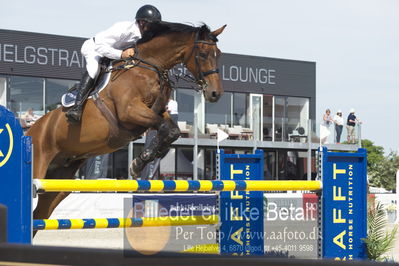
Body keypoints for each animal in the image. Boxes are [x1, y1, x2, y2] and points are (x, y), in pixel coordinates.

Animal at [27, 20, 228, 223]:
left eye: (218, 54)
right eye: (202, 54)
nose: (215, 93)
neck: (150, 66)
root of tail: (30, 131)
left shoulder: (156, 111)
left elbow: (172, 130)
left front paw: (143, 159)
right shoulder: (129, 111)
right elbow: (165, 128)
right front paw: (139, 163)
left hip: (60, 180)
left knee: (39, 215)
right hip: (39, 166)